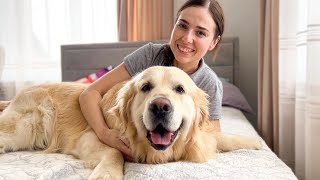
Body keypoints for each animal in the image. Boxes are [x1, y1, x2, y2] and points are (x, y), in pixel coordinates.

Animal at [0, 66, 260, 180]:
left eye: (180, 89)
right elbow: (114, 152)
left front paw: (254, 142)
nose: (160, 106)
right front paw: (106, 174)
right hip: (25, 125)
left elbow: (220, 137)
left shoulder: (199, 139)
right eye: (146, 87)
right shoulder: (91, 136)